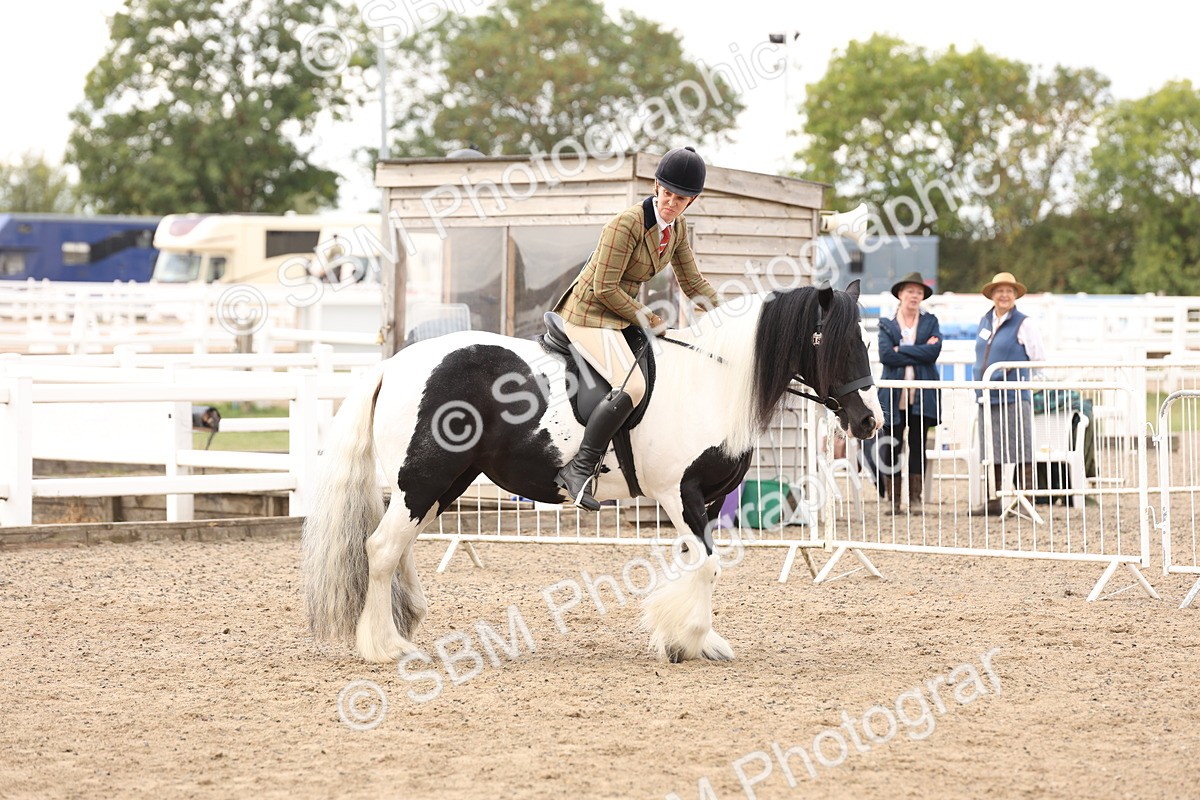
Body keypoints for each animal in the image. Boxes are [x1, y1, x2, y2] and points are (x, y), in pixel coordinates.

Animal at [301, 280, 883, 663]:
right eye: (837, 342)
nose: (869, 421)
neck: (712, 382)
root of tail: (393, 365)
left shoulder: (708, 500)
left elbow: (693, 564)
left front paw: (683, 638)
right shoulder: (680, 493)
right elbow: (707, 566)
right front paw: (691, 636)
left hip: (446, 481)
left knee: (399, 547)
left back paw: (406, 624)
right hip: (423, 478)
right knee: (381, 548)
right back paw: (384, 646)